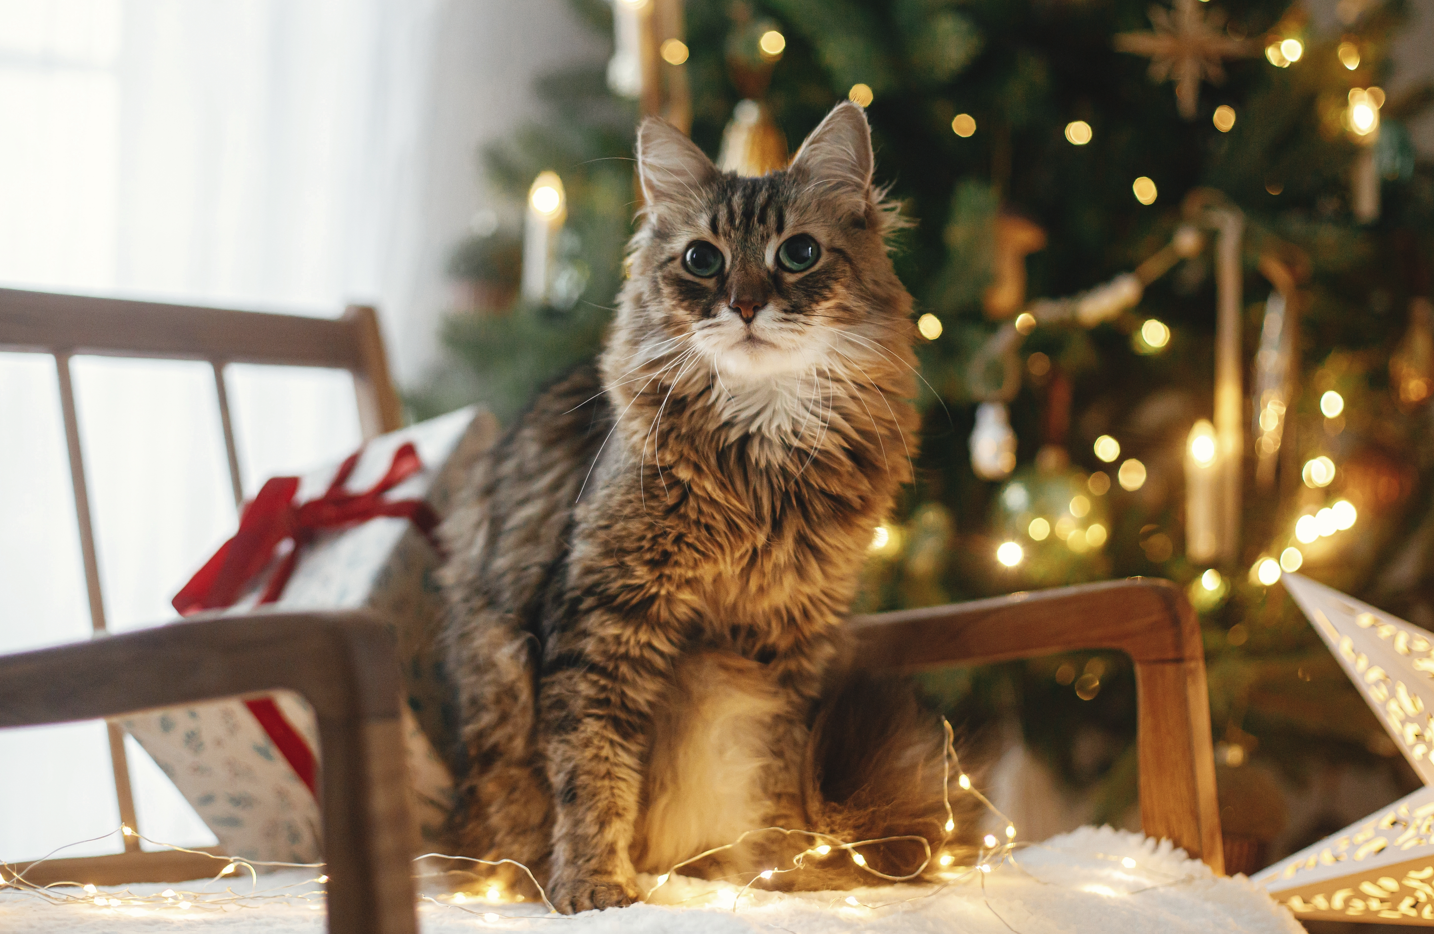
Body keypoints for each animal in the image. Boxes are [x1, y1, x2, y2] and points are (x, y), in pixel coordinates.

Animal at [435, 102, 975, 912]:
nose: (746, 304)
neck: (764, 461)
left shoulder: (786, 640)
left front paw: (784, 871)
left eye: (799, 253)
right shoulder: (602, 619)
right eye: (701, 259)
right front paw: (594, 884)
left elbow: (775, 771)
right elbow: (593, 769)